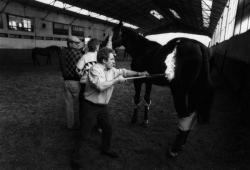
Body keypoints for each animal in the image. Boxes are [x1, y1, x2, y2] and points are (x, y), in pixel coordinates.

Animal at [112, 23, 212, 157]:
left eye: (116, 33)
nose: (106, 45)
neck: (143, 50)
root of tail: (199, 46)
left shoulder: (138, 81)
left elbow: (137, 99)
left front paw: (134, 120)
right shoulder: (148, 81)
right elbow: (147, 100)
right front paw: (145, 121)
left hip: (179, 91)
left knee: (184, 115)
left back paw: (175, 148)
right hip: (193, 92)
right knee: (191, 115)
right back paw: (181, 144)